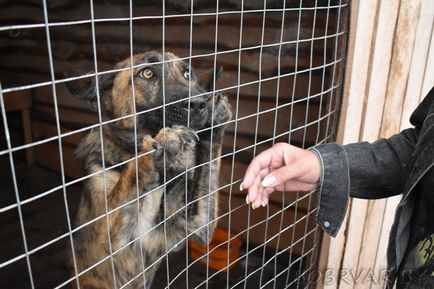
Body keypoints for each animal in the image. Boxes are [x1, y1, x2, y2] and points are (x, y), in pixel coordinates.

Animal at [65, 50, 232, 286]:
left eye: (187, 73)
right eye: (147, 73)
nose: (199, 104)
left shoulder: (200, 224)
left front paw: (215, 120)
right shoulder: (108, 238)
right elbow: (135, 168)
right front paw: (164, 140)